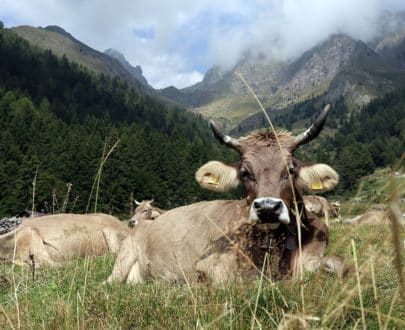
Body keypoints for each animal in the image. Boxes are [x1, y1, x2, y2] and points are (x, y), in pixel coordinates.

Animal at [105, 104, 348, 284]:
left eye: (291, 169)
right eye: (244, 172)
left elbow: (335, 262)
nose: (267, 208)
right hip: (123, 259)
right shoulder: (211, 266)